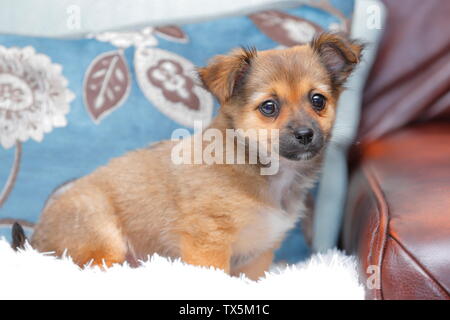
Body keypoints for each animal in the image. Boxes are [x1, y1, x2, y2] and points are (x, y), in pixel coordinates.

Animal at [22, 33, 364, 280]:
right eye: (269, 107)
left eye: (318, 101)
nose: (306, 134)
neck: (264, 169)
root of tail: (35, 238)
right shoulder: (208, 243)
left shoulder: (258, 253)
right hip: (102, 238)